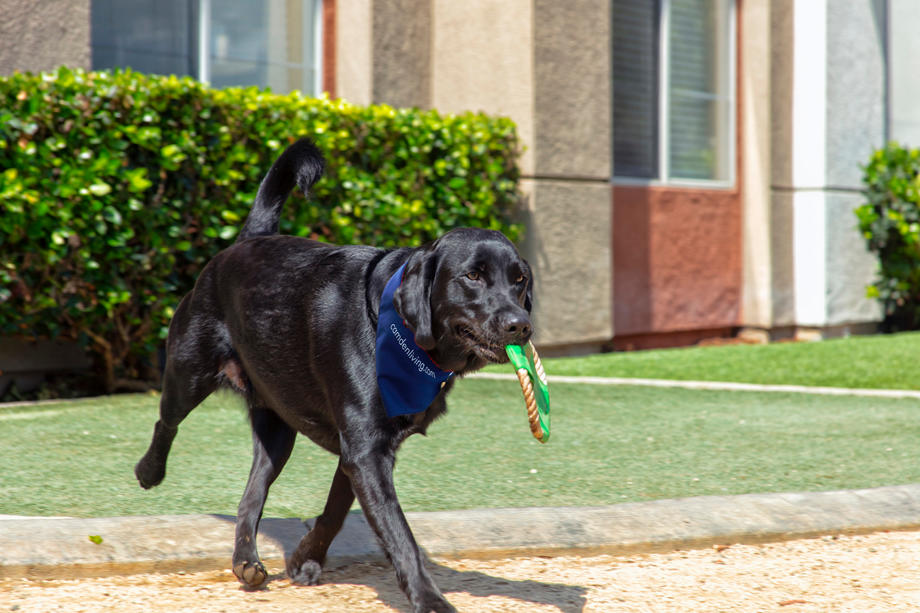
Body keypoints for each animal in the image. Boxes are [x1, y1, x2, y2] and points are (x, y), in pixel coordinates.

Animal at [136, 140, 532, 612]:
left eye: (520, 280)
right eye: (472, 275)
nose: (521, 325)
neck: (398, 330)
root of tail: (249, 241)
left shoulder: (361, 452)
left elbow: (336, 512)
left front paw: (306, 558)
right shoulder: (365, 451)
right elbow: (400, 535)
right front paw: (428, 599)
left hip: (276, 431)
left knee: (251, 494)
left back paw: (246, 563)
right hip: (188, 373)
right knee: (166, 421)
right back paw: (148, 472)